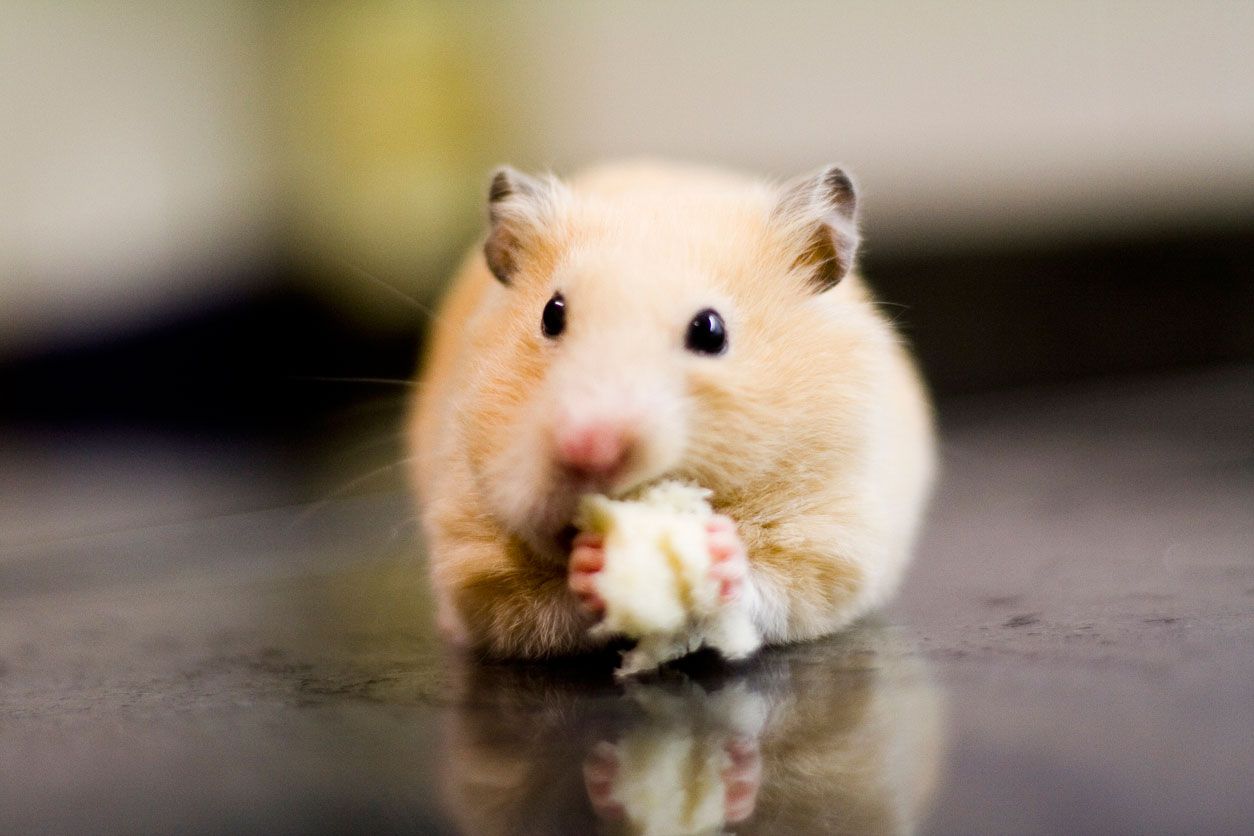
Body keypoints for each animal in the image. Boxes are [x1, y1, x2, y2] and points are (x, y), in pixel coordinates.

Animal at [408, 159, 936, 660]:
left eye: (710, 330)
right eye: (551, 315)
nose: (589, 447)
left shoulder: (835, 535)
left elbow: (783, 584)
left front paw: (719, 552)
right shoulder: (475, 560)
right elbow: (536, 605)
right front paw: (591, 562)